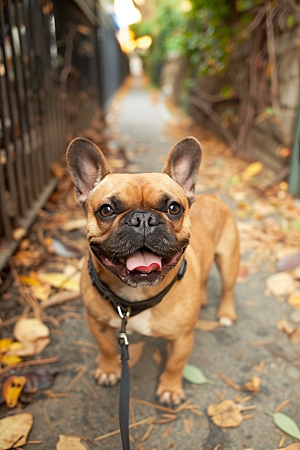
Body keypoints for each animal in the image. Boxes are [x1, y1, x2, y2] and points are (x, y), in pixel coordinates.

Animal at [67, 136, 240, 404]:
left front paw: (170, 389)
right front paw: (108, 370)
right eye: (106, 210)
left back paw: (226, 313)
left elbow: (175, 364)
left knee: (228, 288)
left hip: (229, 260)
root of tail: (213, 197)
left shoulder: (182, 338)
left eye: (174, 208)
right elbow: (106, 348)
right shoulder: (98, 323)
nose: (143, 219)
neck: (135, 299)